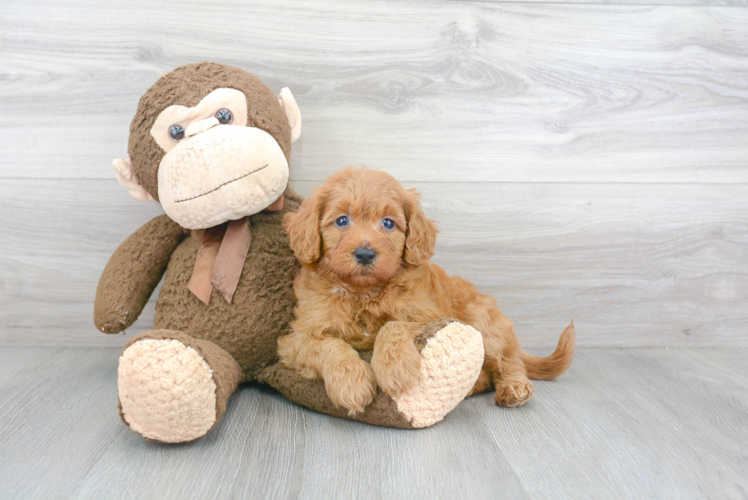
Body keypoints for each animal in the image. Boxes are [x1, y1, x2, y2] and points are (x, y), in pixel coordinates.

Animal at [278, 167, 576, 414]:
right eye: (341, 221)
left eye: (388, 223)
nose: (365, 254)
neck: (363, 291)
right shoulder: (297, 339)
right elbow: (329, 345)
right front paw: (351, 383)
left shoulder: (427, 315)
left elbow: (393, 326)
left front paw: (394, 367)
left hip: (484, 322)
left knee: (509, 362)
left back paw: (514, 388)